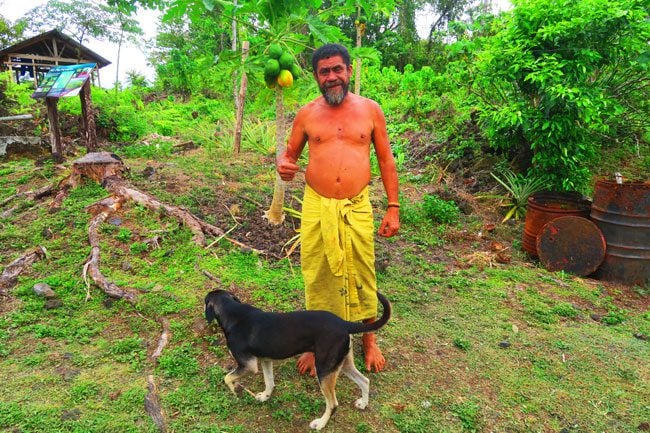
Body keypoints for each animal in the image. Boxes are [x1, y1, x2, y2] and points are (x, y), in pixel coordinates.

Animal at [204, 286, 390, 428]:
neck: (233, 312)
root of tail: (343, 323)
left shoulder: (248, 365)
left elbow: (227, 378)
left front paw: (236, 390)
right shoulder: (266, 360)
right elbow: (269, 382)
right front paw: (265, 396)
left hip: (324, 370)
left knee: (333, 404)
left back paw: (320, 424)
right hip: (341, 364)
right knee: (365, 381)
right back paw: (363, 403)